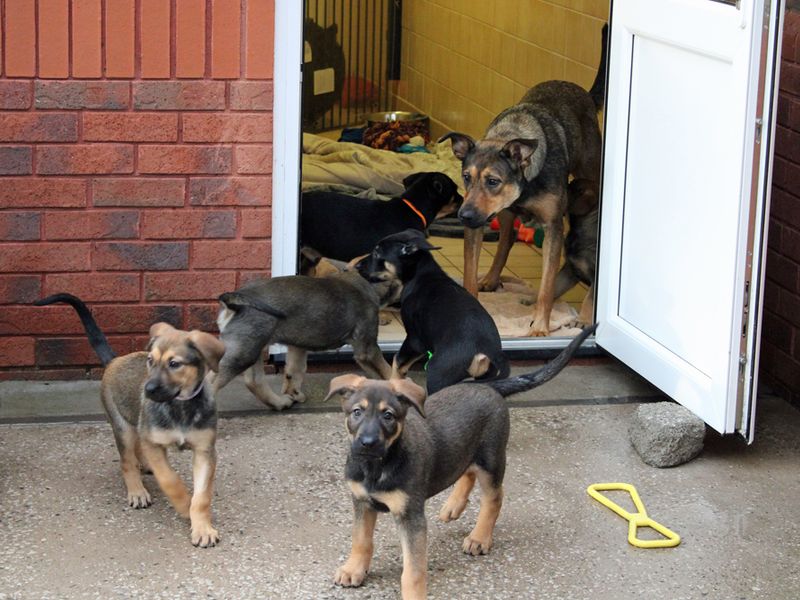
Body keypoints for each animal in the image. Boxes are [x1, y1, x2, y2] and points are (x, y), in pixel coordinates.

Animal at [32, 292, 223, 548]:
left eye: (174, 364)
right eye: (150, 360)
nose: (148, 390)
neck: (180, 406)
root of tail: (115, 360)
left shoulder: (204, 450)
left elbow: (202, 497)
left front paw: (202, 528)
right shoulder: (154, 442)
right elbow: (170, 480)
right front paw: (184, 505)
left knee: (137, 450)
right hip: (121, 426)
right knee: (126, 460)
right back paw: (137, 491)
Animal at [324, 324, 592, 600]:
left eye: (388, 416)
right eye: (357, 412)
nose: (367, 443)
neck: (376, 467)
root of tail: (490, 386)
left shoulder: (411, 517)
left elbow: (413, 570)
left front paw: (413, 594)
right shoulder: (361, 502)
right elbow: (361, 540)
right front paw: (354, 569)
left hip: (491, 459)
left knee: (494, 497)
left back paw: (479, 537)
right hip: (468, 451)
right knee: (466, 471)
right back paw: (454, 505)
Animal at [360, 229, 510, 394]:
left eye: (377, 253)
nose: (357, 265)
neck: (422, 273)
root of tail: (486, 350)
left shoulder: (414, 340)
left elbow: (397, 362)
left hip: (437, 371)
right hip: (483, 375)